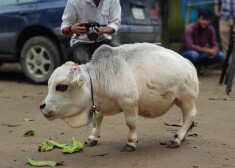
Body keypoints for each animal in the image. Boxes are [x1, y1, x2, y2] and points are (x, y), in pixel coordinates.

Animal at [40, 42, 198, 152]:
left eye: (62, 86)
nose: (42, 106)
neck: (100, 78)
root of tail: (188, 63)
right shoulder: (99, 106)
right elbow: (98, 120)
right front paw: (93, 137)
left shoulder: (129, 102)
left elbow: (131, 123)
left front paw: (131, 143)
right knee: (187, 117)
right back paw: (182, 136)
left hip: (187, 99)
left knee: (190, 115)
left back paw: (177, 138)